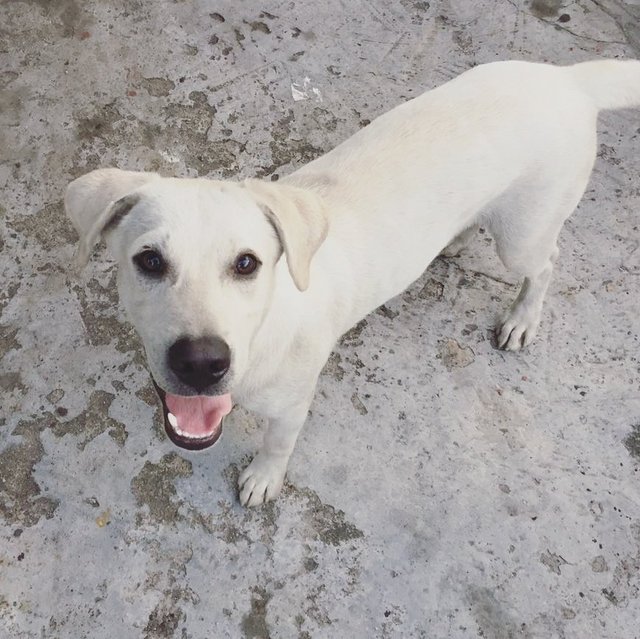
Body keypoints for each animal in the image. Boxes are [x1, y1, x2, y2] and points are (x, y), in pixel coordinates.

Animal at [66, 62, 640, 508]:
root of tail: (567, 78)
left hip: (523, 236)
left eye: (248, 264)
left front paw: (263, 479)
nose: (201, 364)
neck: (268, 331)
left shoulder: (292, 407)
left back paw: (522, 319)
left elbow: (278, 445)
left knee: (545, 266)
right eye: (150, 261)